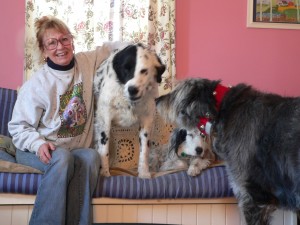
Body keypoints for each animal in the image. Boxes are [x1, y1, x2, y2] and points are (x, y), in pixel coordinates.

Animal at [93, 43, 165, 178]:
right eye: (125, 68)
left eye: (144, 71)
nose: (132, 89)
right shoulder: (105, 118)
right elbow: (104, 149)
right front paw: (105, 172)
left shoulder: (147, 119)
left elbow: (144, 151)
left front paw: (144, 173)